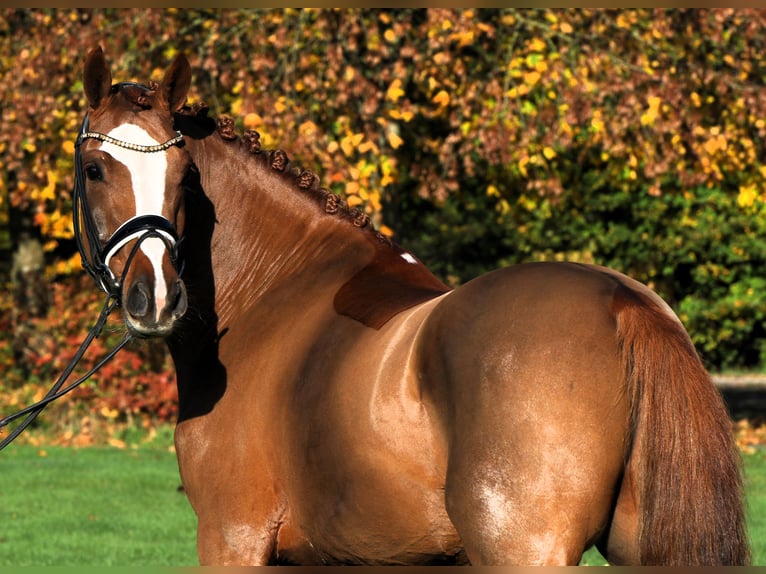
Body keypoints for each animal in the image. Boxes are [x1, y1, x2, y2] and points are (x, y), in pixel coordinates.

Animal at [75, 48, 752, 568]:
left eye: (185, 175)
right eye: (94, 169)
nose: (155, 295)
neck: (274, 292)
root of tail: (621, 301)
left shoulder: (231, 539)